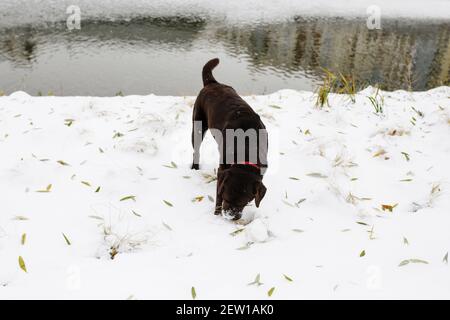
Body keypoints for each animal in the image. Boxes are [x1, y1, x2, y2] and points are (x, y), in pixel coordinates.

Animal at [191, 58, 268, 220]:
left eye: (245, 202)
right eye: (226, 196)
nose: (230, 216)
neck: (247, 148)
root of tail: (213, 83)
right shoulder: (222, 170)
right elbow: (218, 194)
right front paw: (216, 213)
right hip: (198, 124)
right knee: (196, 149)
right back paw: (194, 167)